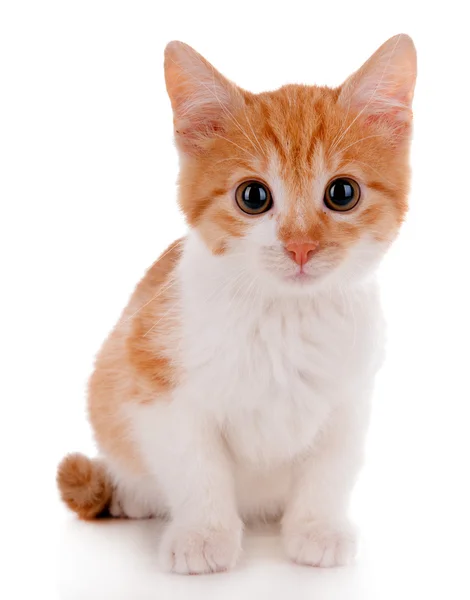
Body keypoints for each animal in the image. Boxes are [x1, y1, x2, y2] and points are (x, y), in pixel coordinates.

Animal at [57, 35, 414, 576]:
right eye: (253, 197)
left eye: (343, 192)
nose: (300, 247)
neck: (284, 315)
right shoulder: (156, 378)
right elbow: (196, 466)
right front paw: (204, 535)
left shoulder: (352, 391)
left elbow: (331, 466)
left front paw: (317, 528)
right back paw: (132, 494)